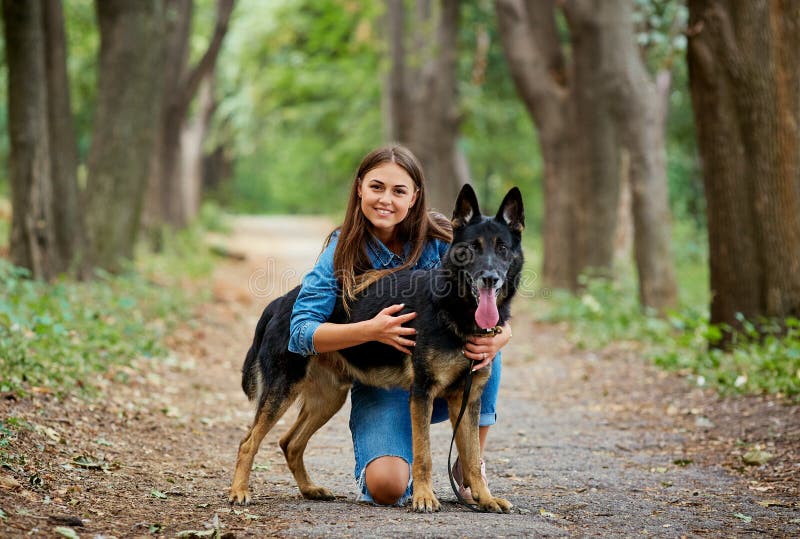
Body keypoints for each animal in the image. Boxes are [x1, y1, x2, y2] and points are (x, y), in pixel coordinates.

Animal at [228, 186, 520, 516]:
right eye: (471, 248)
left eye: (502, 248)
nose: (490, 278)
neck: (454, 308)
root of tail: (280, 302)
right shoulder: (423, 393)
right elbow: (424, 454)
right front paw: (423, 497)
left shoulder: (466, 400)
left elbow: (471, 457)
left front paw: (484, 498)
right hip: (283, 390)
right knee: (248, 442)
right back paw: (239, 492)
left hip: (329, 398)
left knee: (290, 442)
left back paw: (310, 489)